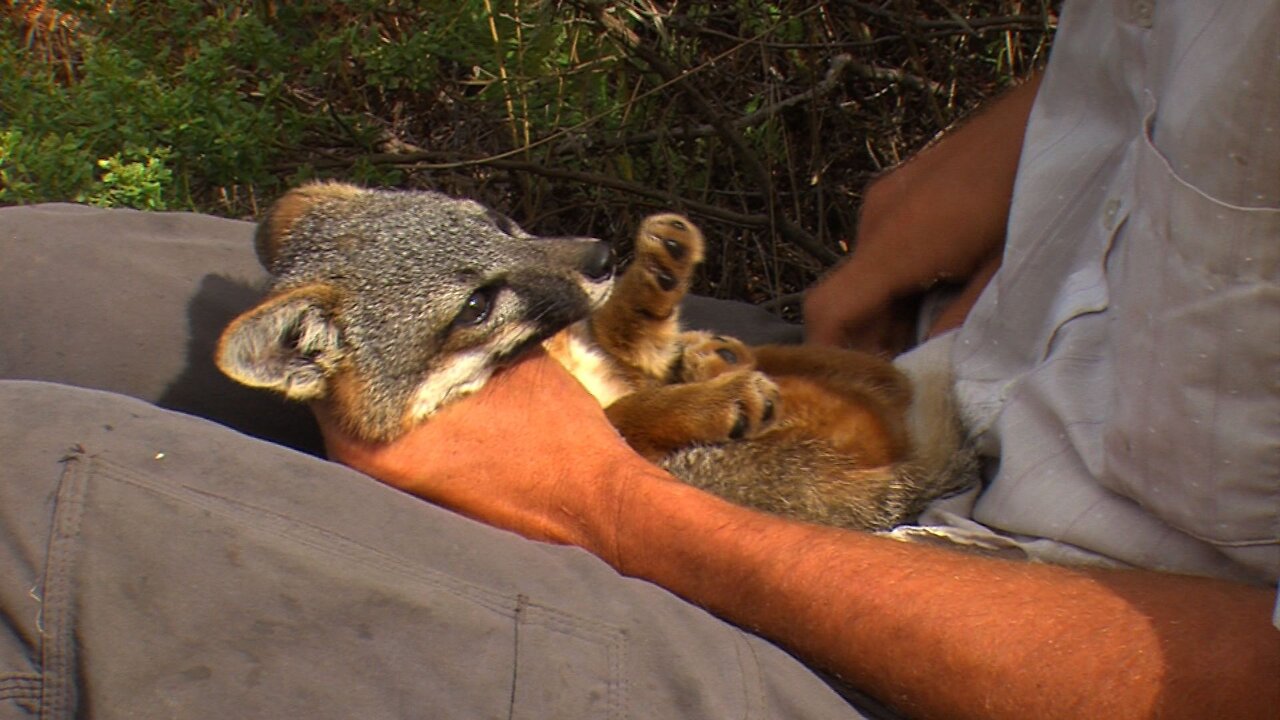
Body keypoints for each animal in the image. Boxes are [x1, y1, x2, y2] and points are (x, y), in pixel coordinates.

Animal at [217, 181, 967, 530]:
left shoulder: (605, 350)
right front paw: (705, 398)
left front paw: (655, 281)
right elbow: (628, 414)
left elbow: (628, 344)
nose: (602, 256)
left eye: (499, 222)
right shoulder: (614, 413)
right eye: (476, 306)